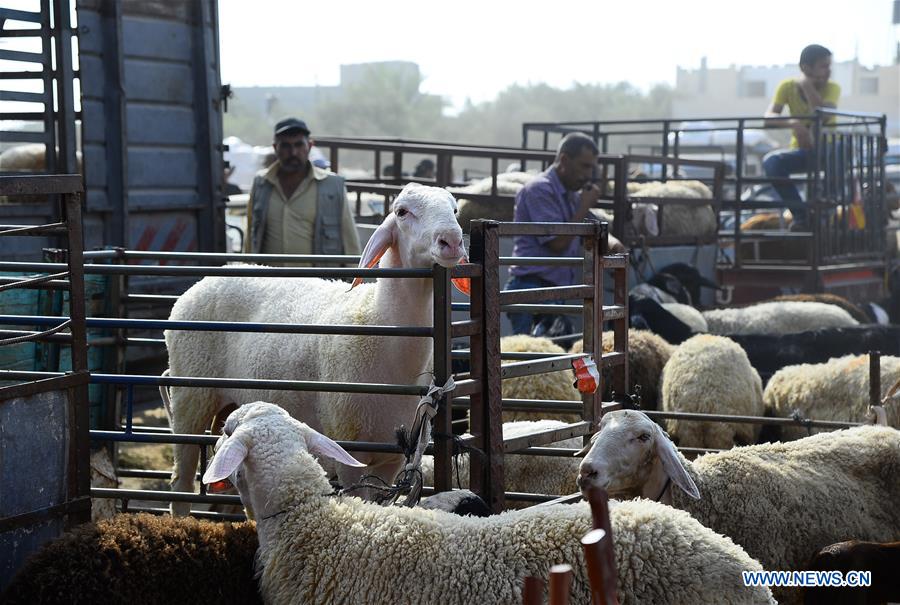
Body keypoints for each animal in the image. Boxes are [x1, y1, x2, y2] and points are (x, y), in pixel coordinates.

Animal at [163, 182, 472, 512]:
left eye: (454, 209)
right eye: (401, 212)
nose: (452, 241)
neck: (379, 322)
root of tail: (210, 278)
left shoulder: (392, 459)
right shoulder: (350, 451)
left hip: (230, 408)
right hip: (191, 396)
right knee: (181, 481)